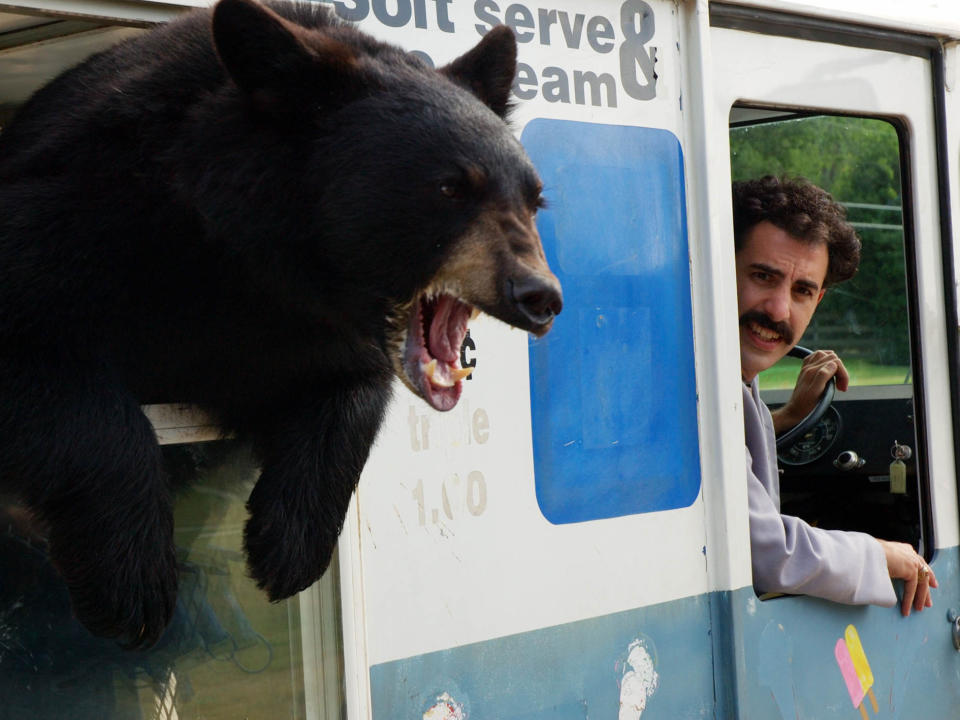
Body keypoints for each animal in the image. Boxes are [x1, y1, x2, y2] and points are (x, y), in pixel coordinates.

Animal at [0, 0, 564, 648]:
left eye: (534, 199)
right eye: (450, 187)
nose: (539, 295)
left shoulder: (309, 330)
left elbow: (350, 390)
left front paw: (287, 547)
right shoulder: (82, 215)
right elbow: (65, 379)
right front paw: (132, 581)